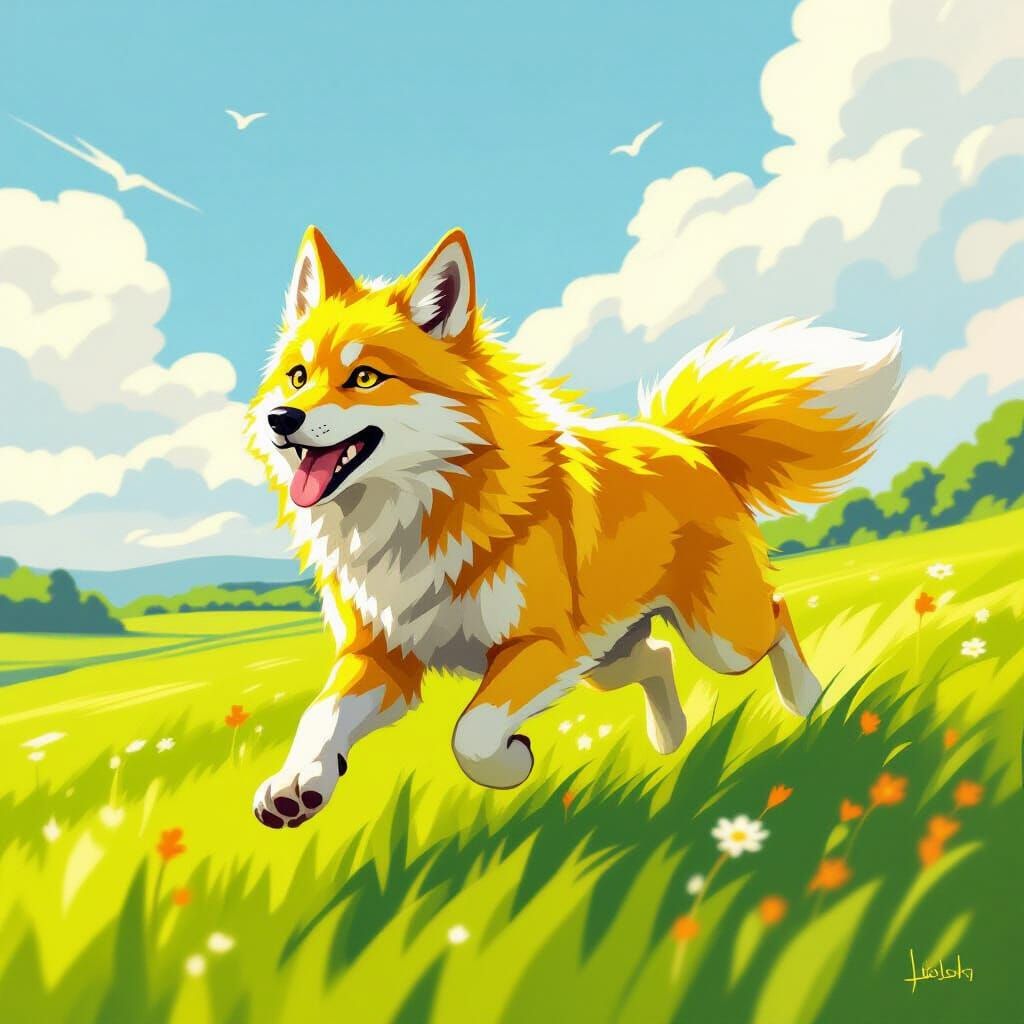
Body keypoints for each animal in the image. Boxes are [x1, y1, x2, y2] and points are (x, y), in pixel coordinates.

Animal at [245, 226, 901, 828]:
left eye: (365, 378)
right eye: (298, 376)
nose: (281, 418)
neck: (420, 511)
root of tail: (687, 442)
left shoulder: (544, 645)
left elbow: (472, 734)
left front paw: (513, 762)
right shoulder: (383, 657)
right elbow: (319, 718)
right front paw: (299, 782)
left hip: (717, 639)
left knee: (777, 616)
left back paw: (811, 704)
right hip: (605, 659)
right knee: (659, 657)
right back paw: (670, 745)